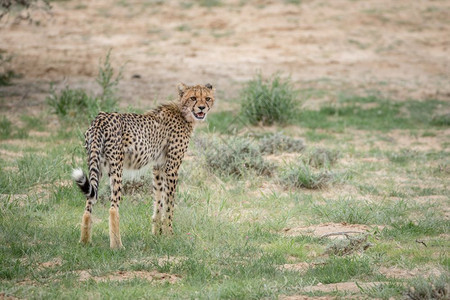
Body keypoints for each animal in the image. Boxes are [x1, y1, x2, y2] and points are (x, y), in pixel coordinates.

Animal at [71, 82, 214, 248]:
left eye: (207, 98)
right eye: (193, 98)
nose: (202, 108)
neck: (183, 113)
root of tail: (100, 118)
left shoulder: (158, 167)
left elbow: (158, 200)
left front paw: (157, 234)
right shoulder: (172, 167)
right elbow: (169, 204)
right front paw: (169, 234)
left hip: (96, 165)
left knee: (89, 204)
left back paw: (84, 242)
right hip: (116, 168)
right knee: (113, 208)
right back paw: (117, 246)